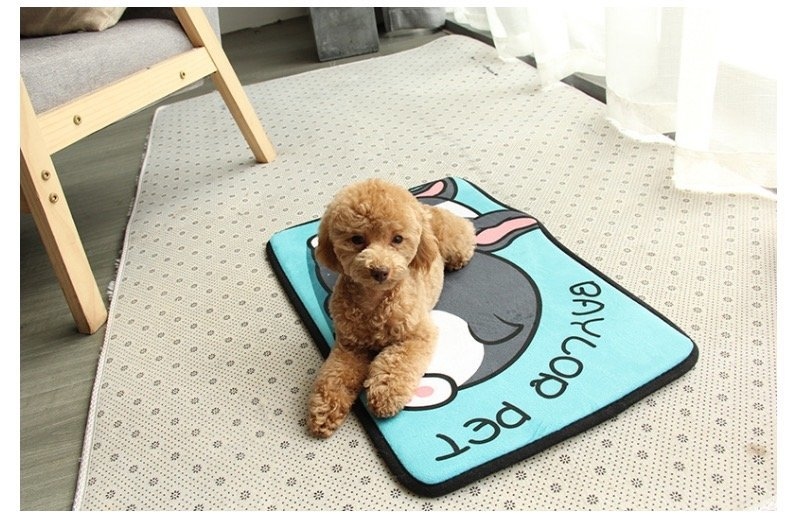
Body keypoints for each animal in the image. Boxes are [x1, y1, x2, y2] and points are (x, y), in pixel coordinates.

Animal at [307, 178, 476, 438]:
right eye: (357, 239)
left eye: (397, 239)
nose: (380, 271)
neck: (373, 301)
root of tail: (423, 206)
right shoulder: (349, 345)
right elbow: (335, 375)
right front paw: (325, 409)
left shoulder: (417, 334)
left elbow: (397, 363)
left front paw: (385, 393)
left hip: (453, 239)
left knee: (464, 235)